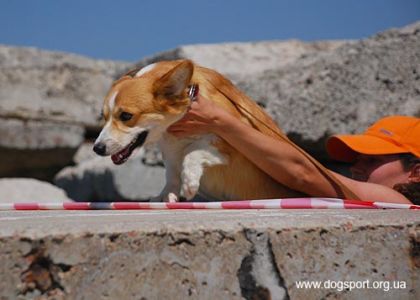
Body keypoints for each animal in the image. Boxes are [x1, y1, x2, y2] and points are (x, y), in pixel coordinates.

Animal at [92, 59, 306, 202]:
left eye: (126, 116)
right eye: (103, 116)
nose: (97, 149)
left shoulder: (228, 141)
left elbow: (192, 151)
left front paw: (189, 183)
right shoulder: (170, 150)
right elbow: (171, 174)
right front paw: (166, 195)